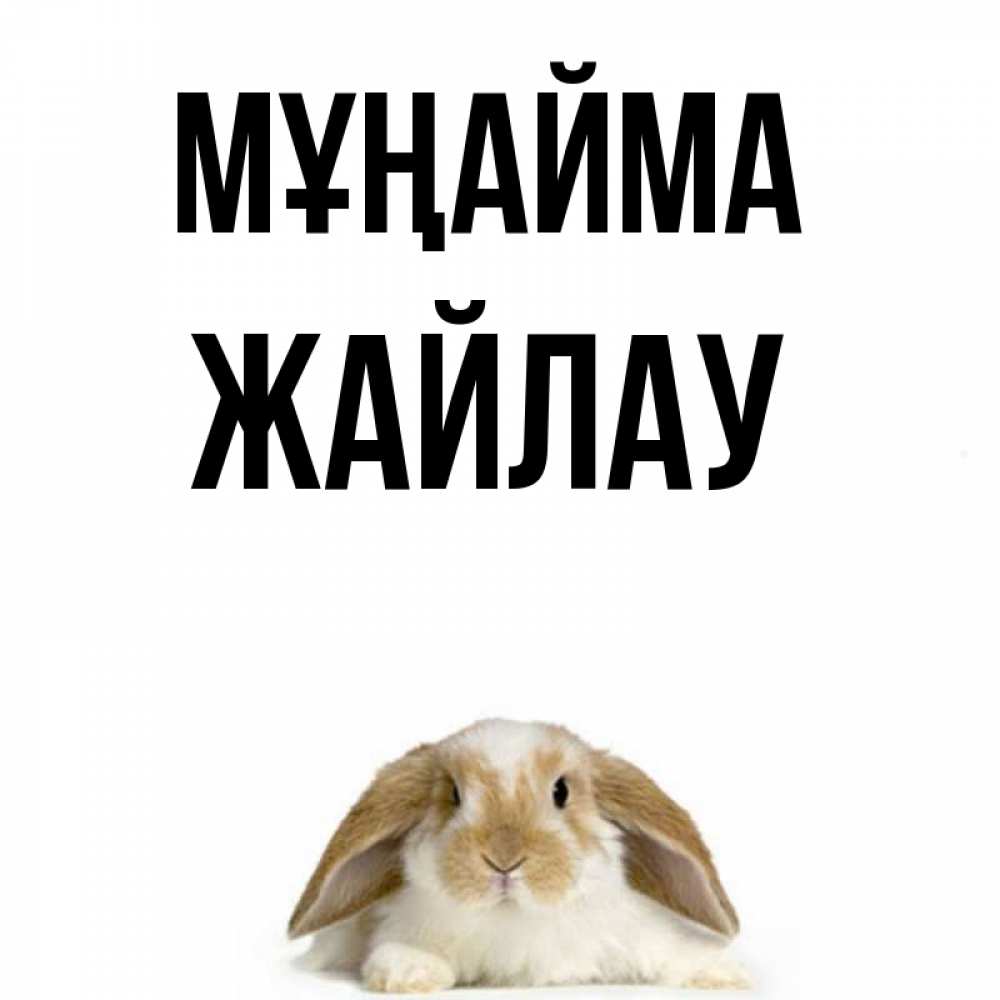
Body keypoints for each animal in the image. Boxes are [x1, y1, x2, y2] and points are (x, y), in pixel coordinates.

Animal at [288, 719, 750, 991]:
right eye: (453, 795)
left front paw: (725, 973)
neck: (514, 919)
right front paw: (410, 973)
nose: (504, 859)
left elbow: (674, 950)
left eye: (561, 791)